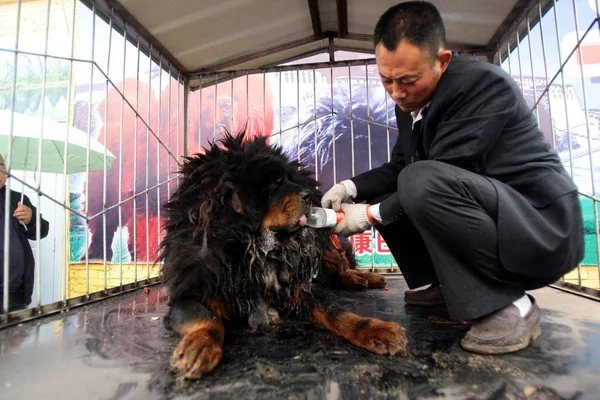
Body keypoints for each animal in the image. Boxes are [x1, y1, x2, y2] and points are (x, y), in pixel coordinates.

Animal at [158, 133, 408, 380]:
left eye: (288, 179)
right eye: (273, 185)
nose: (308, 195)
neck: (251, 252)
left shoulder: (302, 289)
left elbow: (337, 312)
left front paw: (376, 329)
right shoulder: (191, 292)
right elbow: (205, 319)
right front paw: (198, 347)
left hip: (327, 248)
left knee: (341, 269)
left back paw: (365, 278)